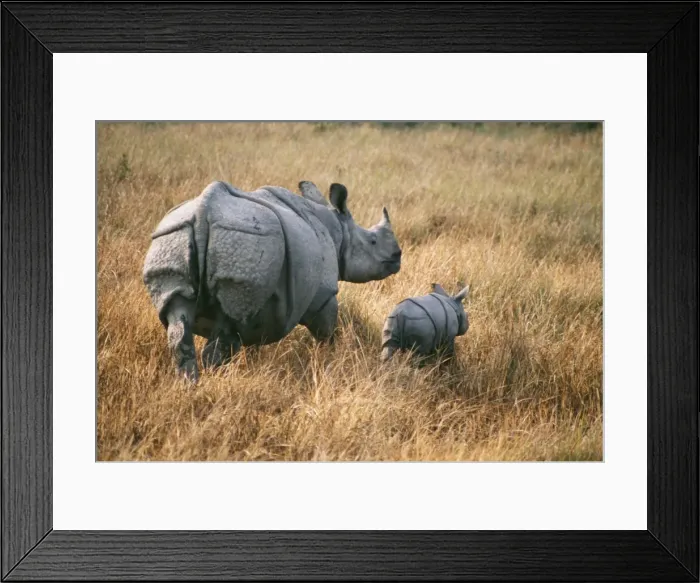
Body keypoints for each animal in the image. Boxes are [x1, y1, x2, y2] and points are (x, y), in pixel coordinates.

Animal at [143, 179, 402, 382]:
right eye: (372, 241)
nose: (398, 256)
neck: (339, 231)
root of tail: (202, 213)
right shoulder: (324, 296)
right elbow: (327, 332)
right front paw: (330, 359)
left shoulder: (264, 302)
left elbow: (253, 335)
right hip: (245, 240)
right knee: (226, 324)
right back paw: (212, 380)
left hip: (173, 237)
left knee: (180, 317)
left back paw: (189, 385)